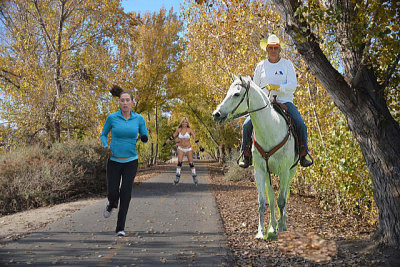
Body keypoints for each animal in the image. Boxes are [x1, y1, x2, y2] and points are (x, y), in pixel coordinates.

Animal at [212, 76, 296, 241]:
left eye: (236, 94)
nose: (216, 114)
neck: (271, 129)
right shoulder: (260, 171)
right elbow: (262, 202)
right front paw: (261, 232)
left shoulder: (284, 171)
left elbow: (282, 200)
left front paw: (281, 227)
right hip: (269, 174)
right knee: (271, 197)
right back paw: (272, 226)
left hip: (291, 172)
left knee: (286, 194)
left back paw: (282, 223)